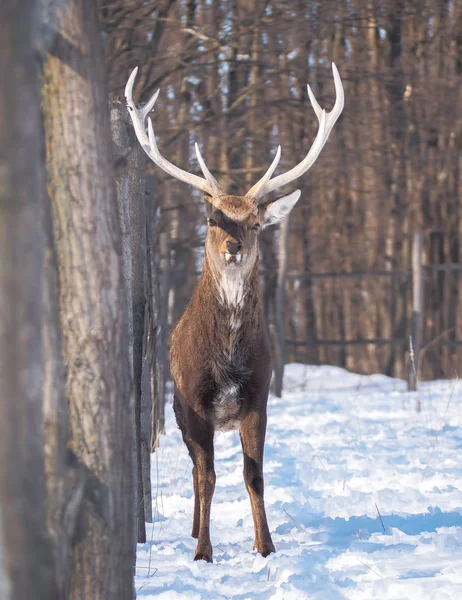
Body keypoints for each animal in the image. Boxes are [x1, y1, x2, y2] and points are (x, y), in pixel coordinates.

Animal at [125, 64, 342, 564]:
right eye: (212, 219)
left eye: (256, 222)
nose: (233, 246)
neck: (226, 358)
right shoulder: (194, 401)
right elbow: (208, 477)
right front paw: (203, 552)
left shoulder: (258, 396)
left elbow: (253, 475)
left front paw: (265, 546)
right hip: (176, 412)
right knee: (195, 470)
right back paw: (192, 532)